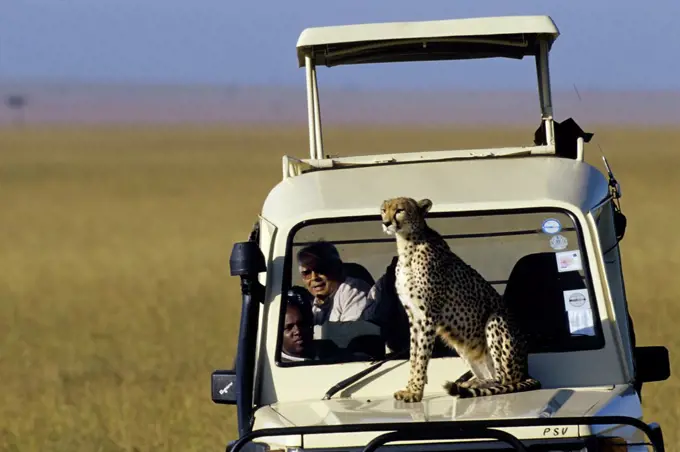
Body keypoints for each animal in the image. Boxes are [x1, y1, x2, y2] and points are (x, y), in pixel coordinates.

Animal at [378, 196, 540, 400]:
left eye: (399, 210)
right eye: (383, 210)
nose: (386, 223)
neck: (408, 245)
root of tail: (526, 371)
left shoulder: (428, 317)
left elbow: (422, 357)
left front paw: (415, 392)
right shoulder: (414, 317)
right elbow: (414, 356)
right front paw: (410, 388)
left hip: (495, 320)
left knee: (504, 379)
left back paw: (475, 384)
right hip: (462, 344)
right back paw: (470, 382)